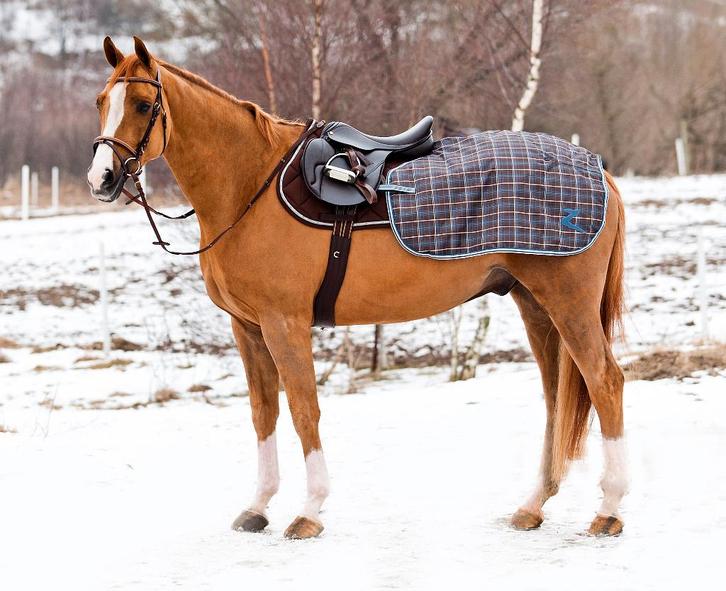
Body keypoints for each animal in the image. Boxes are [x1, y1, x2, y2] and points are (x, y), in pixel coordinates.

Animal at [88, 36, 628, 539]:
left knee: (605, 383)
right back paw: (533, 505)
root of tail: (598, 170)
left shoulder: (284, 324)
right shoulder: (247, 327)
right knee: (557, 395)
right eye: (100, 101)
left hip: (569, 304)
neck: (249, 184)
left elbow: (304, 410)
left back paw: (609, 510)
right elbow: (264, 413)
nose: (102, 178)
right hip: (534, 303)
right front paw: (258, 506)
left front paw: (308, 511)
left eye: (143, 105)